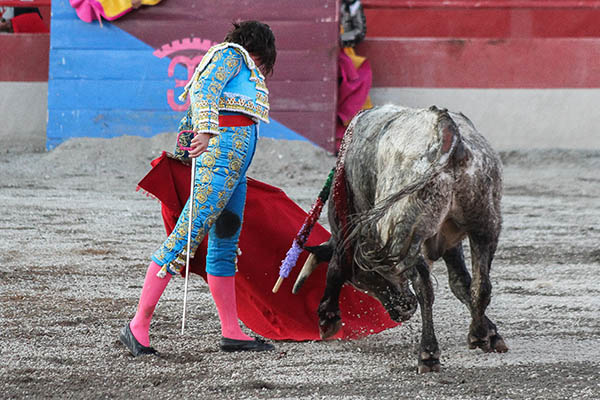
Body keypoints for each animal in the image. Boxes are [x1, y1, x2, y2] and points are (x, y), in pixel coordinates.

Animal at [292, 103, 508, 372]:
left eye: (362, 280)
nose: (402, 311)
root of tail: (447, 130)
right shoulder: (449, 238)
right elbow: (460, 282)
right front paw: (490, 331)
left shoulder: (344, 229)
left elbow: (335, 267)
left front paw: (327, 318)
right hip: (485, 224)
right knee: (481, 285)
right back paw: (478, 334)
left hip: (402, 233)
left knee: (424, 286)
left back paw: (428, 352)